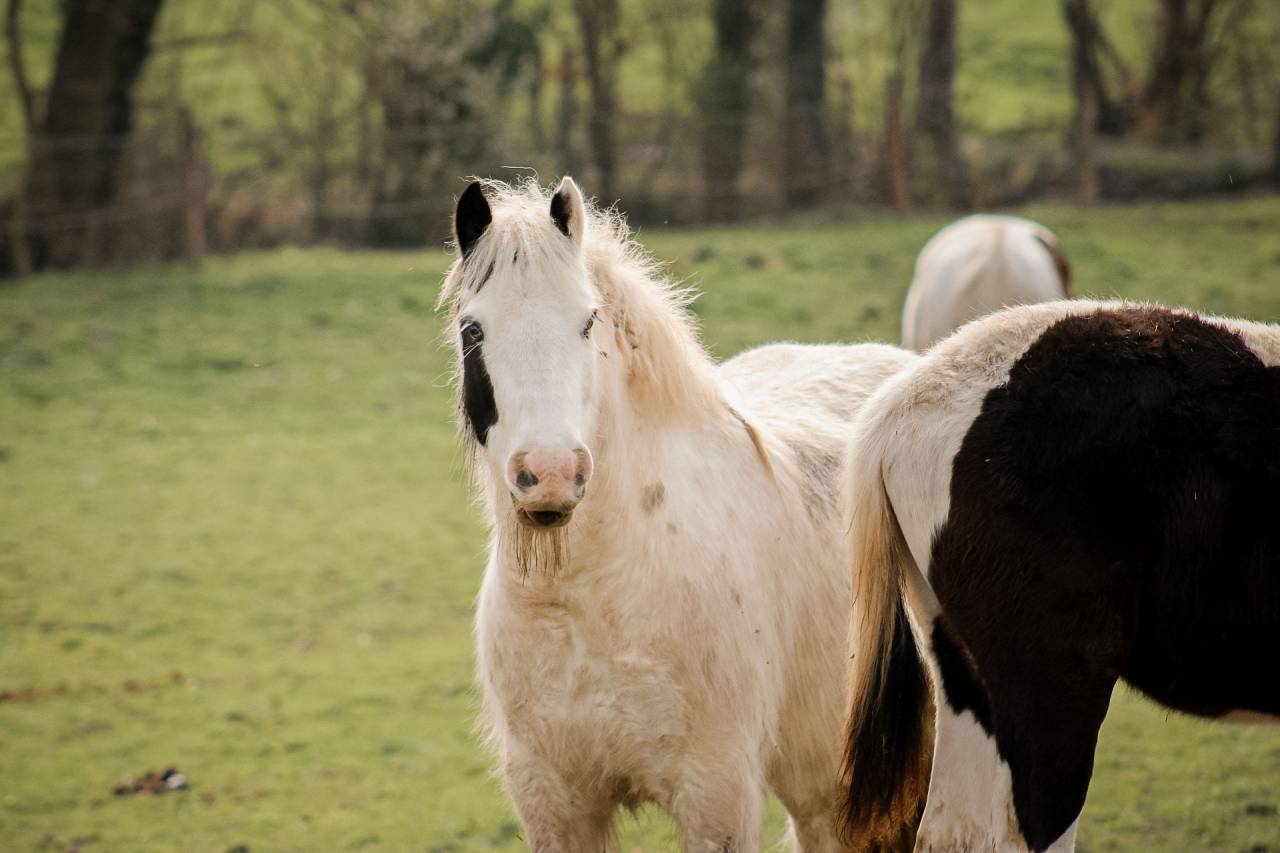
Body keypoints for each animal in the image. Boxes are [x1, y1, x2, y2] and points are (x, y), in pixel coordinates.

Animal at [439, 177, 916, 851]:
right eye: (473, 330)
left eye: (588, 322)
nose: (550, 474)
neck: (589, 603)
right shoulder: (555, 803)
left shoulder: (717, 793)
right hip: (827, 796)